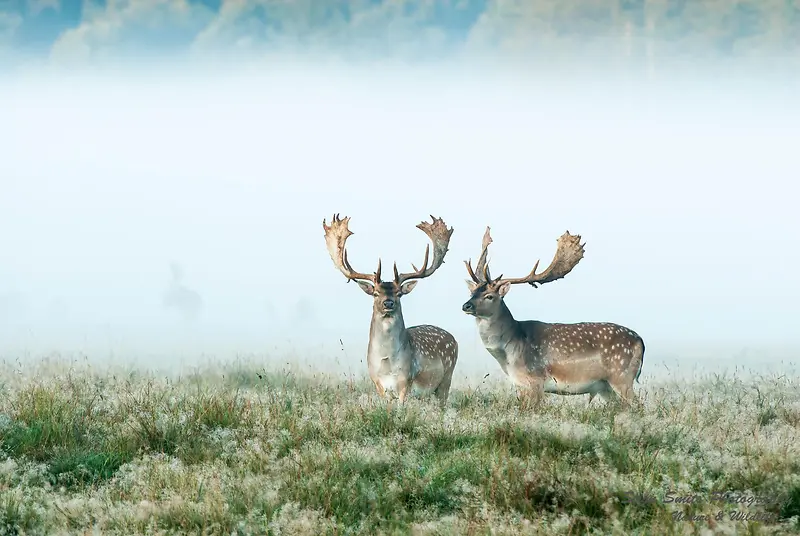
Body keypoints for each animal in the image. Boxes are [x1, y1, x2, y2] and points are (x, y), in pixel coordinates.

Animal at [322, 214, 460, 406]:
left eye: (399, 293)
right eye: (375, 293)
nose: (388, 303)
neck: (387, 365)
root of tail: (454, 339)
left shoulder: (406, 382)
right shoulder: (378, 384)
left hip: (446, 378)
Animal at [462, 228, 644, 408]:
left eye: (489, 296)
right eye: (472, 292)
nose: (466, 306)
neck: (509, 354)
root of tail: (640, 341)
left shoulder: (535, 380)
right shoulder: (520, 384)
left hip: (622, 375)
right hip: (605, 386)